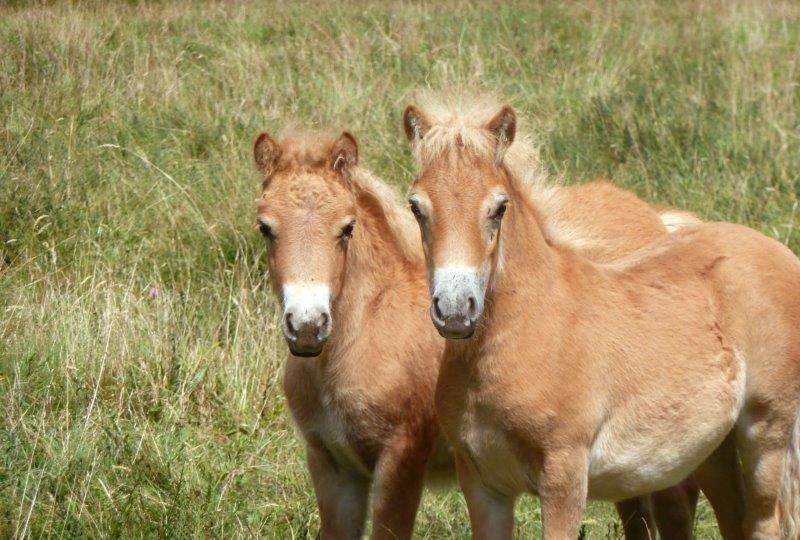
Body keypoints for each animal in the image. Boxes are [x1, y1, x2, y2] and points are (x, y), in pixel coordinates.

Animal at [402, 93, 800, 539]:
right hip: (712, 449)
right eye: (417, 207)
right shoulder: (482, 484)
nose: (456, 310)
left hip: (765, 432)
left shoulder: (564, 476)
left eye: (499, 208)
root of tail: (781, 252)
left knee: (765, 520)